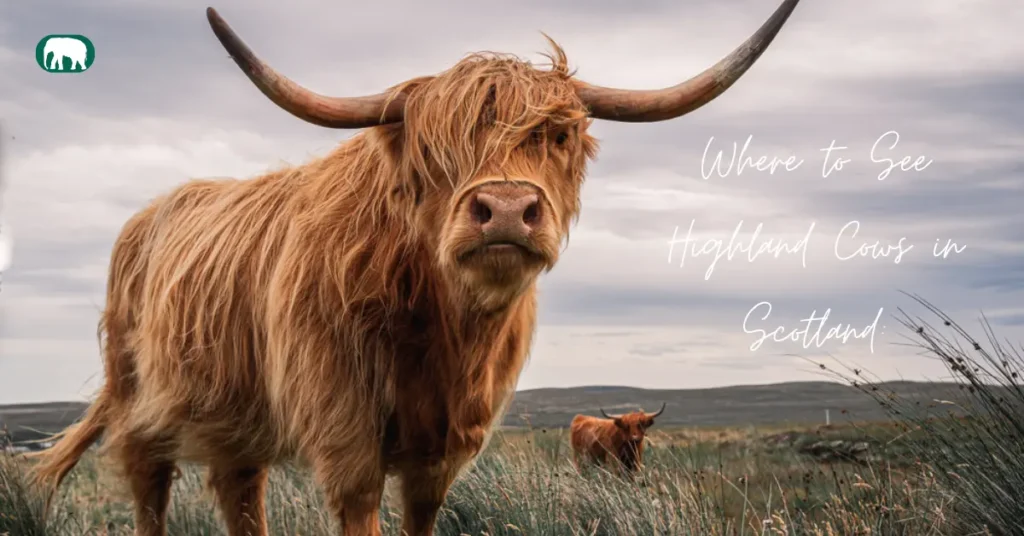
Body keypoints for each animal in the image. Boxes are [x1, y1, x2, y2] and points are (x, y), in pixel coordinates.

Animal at [28, 2, 799, 535]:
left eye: (557, 136)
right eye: (435, 150)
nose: (507, 208)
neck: (441, 331)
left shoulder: (442, 454)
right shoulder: (347, 442)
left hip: (233, 424)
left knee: (239, 495)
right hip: (138, 406)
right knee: (150, 492)